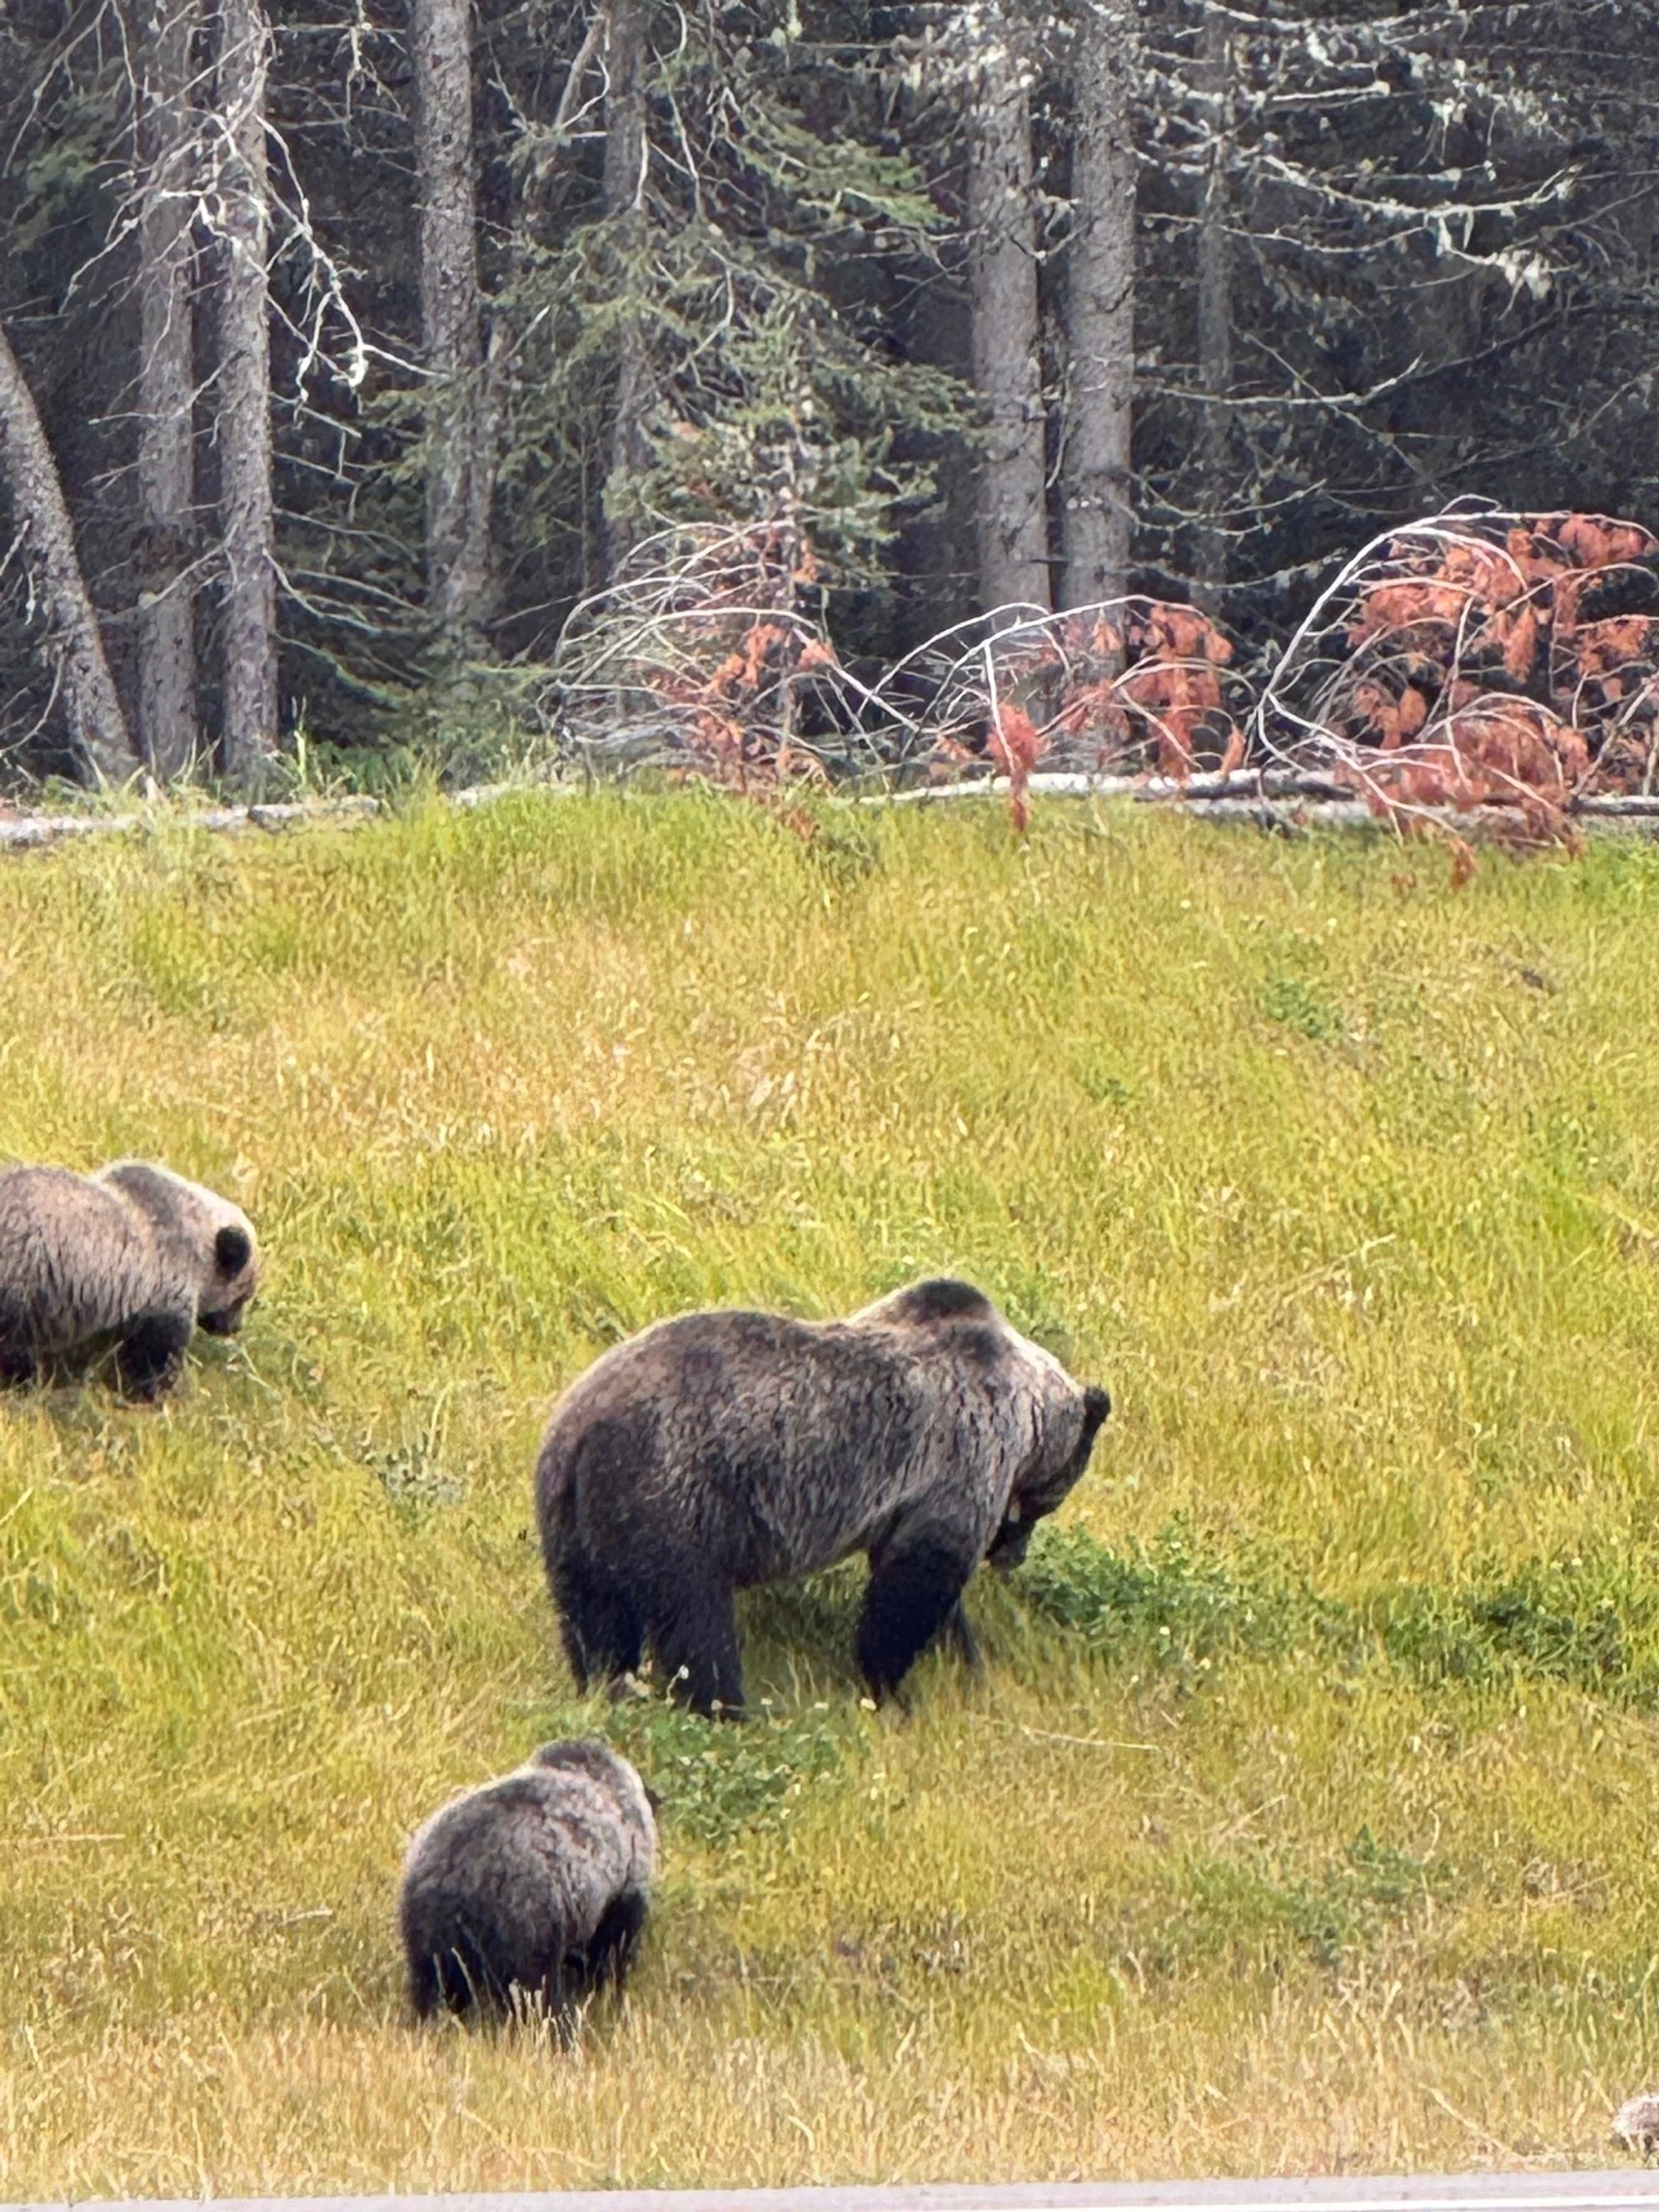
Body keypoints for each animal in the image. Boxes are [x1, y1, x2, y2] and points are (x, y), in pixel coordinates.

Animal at [398, 1737, 658, 2024]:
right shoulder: (622, 1892)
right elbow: (612, 1948)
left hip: (427, 1931)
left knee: (434, 1981)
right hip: (527, 1923)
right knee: (539, 1989)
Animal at [535, 1276, 1111, 1717]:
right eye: (1046, 1501)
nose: (1012, 1555)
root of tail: (575, 1434)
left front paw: (964, 1660)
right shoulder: (959, 1458)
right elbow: (915, 1585)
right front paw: (892, 1688)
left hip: (573, 1524)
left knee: (593, 1616)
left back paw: (604, 1685)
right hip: (670, 1497)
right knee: (695, 1623)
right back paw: (727, 1709)